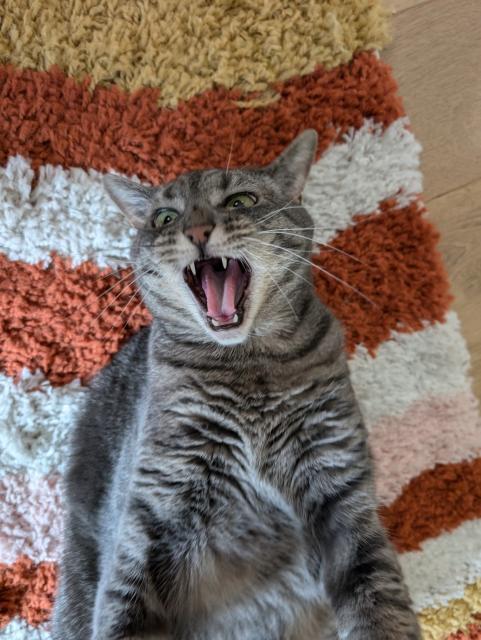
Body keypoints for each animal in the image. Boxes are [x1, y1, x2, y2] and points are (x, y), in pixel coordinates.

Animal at [51, 131, 420, 640]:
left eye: (240, 201)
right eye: (165, 218)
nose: (198, 231)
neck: (244, 363)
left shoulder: (339, 485)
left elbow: (378, 601)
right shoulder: (151, 510)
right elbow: (122, 608)